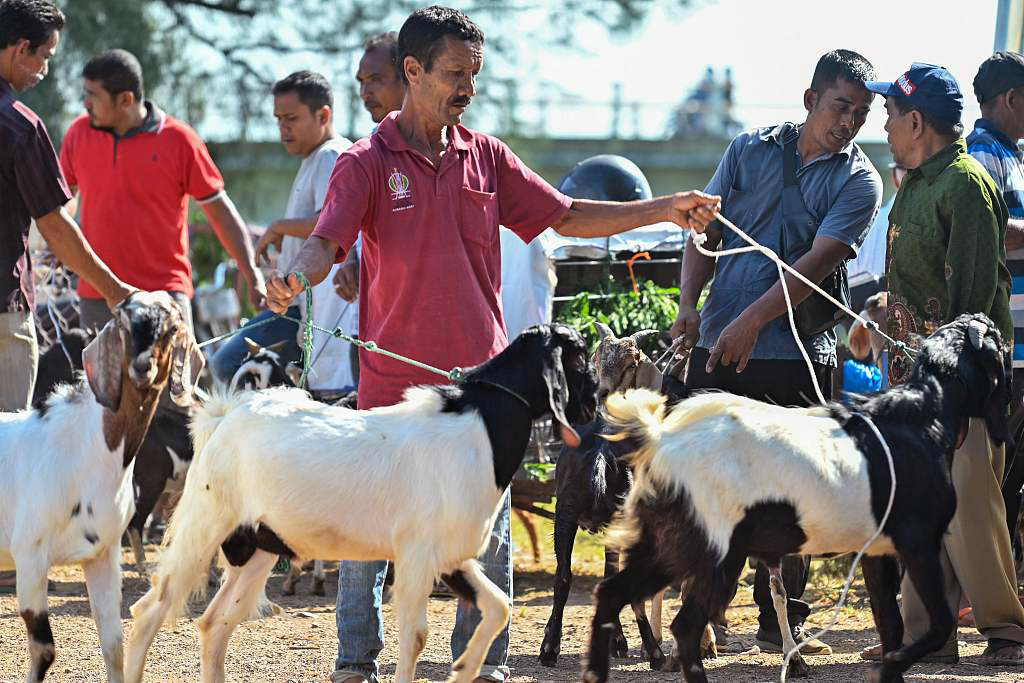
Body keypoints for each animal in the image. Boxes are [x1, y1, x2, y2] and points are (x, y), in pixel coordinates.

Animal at [0, 292, 203, 683]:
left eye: (172, 328)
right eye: (123, 323)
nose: (142, 367)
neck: (86, 447)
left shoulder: (102, 557)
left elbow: (114, 646)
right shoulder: (30, 556)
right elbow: (44, 649)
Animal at [123, 323, 598, 683]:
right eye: (579, 356)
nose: (594, 406)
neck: (477, 427)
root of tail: (223, 417)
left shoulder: (448, 556)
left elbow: (498, 605)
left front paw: (465, 667)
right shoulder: (417, 556)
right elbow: (415, 636)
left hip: (259, 545)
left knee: (215, 621)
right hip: (205, 524)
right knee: (148, 611)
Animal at [536, 325, 679, 667]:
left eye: (630, 363)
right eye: (598, 358)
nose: (601, 393)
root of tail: (601, 450)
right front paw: (621, 642)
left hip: (567, 511)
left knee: (563, 576)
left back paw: (550, 649)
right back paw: (653, 652)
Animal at [585, 313, 1015, 683]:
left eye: (629, 362)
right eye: (595, 362)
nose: (601, 400)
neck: (919, 416)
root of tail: (662, 440)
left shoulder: (880, 550)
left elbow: (887, 622)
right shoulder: (917, 543)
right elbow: (933, 623)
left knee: (621, 593)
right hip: (709, 548)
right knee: (670, 611)